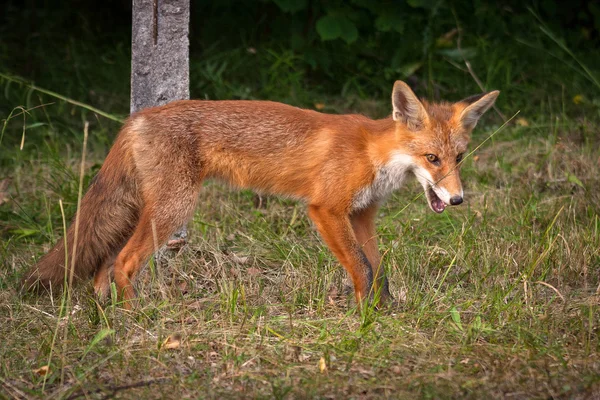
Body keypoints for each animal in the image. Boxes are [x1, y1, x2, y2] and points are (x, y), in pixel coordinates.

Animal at [22, 82, 496, 310]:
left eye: (458, 157)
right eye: (432, 158)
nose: (457, 200)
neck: (373, 154)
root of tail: (138, 117)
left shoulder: (362, 214)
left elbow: (378, 270)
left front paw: (385, 311)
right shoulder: (326, 210)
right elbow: (361, 269)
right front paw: (363, 320)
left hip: (148, 206)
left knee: (102, 261)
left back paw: (104, 311)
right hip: (173, 208)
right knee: (122, 261)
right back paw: (135, 317)